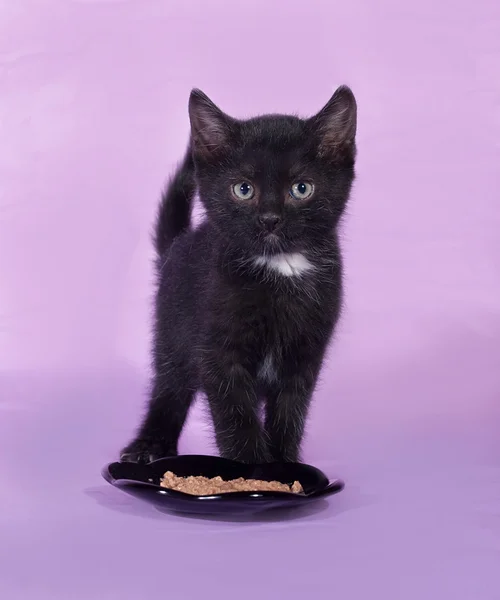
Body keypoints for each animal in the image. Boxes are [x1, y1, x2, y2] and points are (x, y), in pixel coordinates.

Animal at [120, 86, 356, 464]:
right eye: (243, 189)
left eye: (301, 188)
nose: (270, 219)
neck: (280, 267)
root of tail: (178, 244)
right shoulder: (218, 351)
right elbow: (236, 416)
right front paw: (252, 467)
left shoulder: (306, 353)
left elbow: (290, 413)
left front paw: (285, 464)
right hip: (172, 334)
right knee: (169, 389)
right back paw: (150, 445)